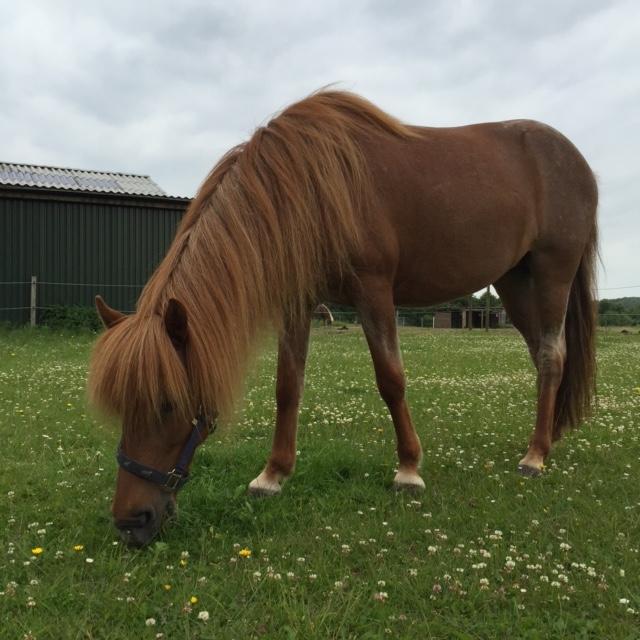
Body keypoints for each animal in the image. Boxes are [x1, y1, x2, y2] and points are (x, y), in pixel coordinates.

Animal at [87, 90, 596, 548]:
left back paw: (535, 457)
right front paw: (272, 475)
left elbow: (390, 379)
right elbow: (287, 387)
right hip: (514, 281)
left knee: (551, 356)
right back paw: (547, 439)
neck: (307, 187)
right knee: (541, 355)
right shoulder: (298, 301)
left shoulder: (374, 291)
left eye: (168, 404)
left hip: (552, 273)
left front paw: (408, 470)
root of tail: (576, 159)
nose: (131, 522)